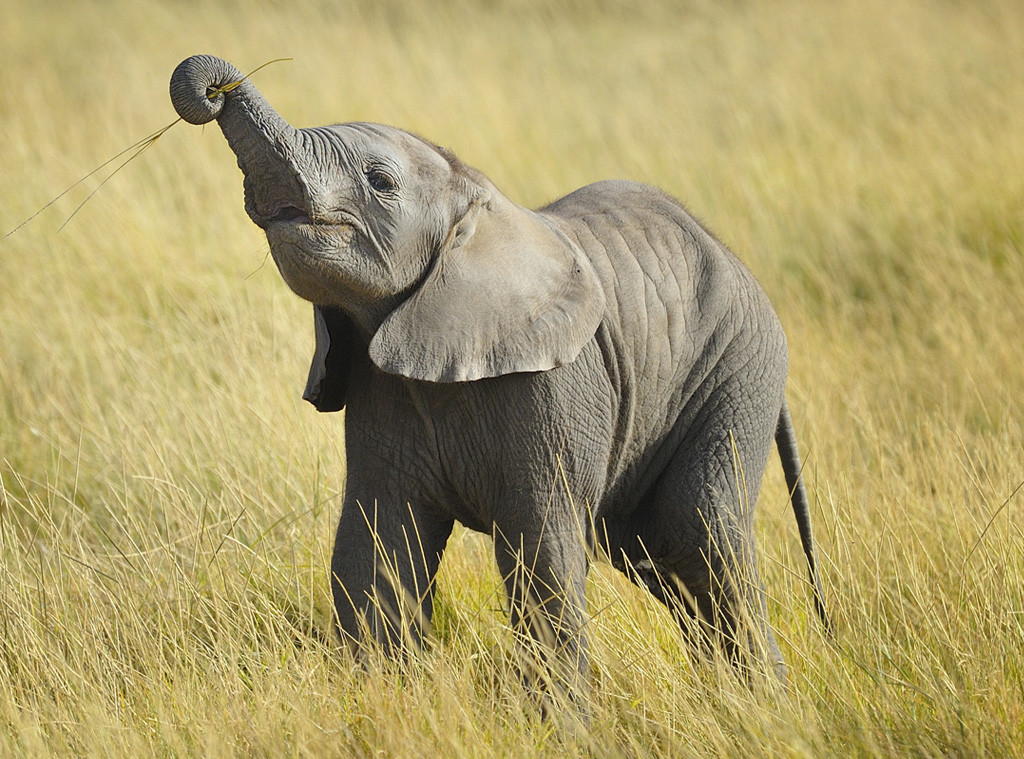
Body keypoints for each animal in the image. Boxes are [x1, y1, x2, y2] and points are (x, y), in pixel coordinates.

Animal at [169, 54, 829, 702]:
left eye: (381, 182)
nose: (212, 91)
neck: (478, 203)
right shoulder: (379, 391)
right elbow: (374, 546)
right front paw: (382, 701)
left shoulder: (554, 389)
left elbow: (541, 552)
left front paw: (562, 723)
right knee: (658, 554)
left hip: (736, 371)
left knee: (699, 531)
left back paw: (768, 709)